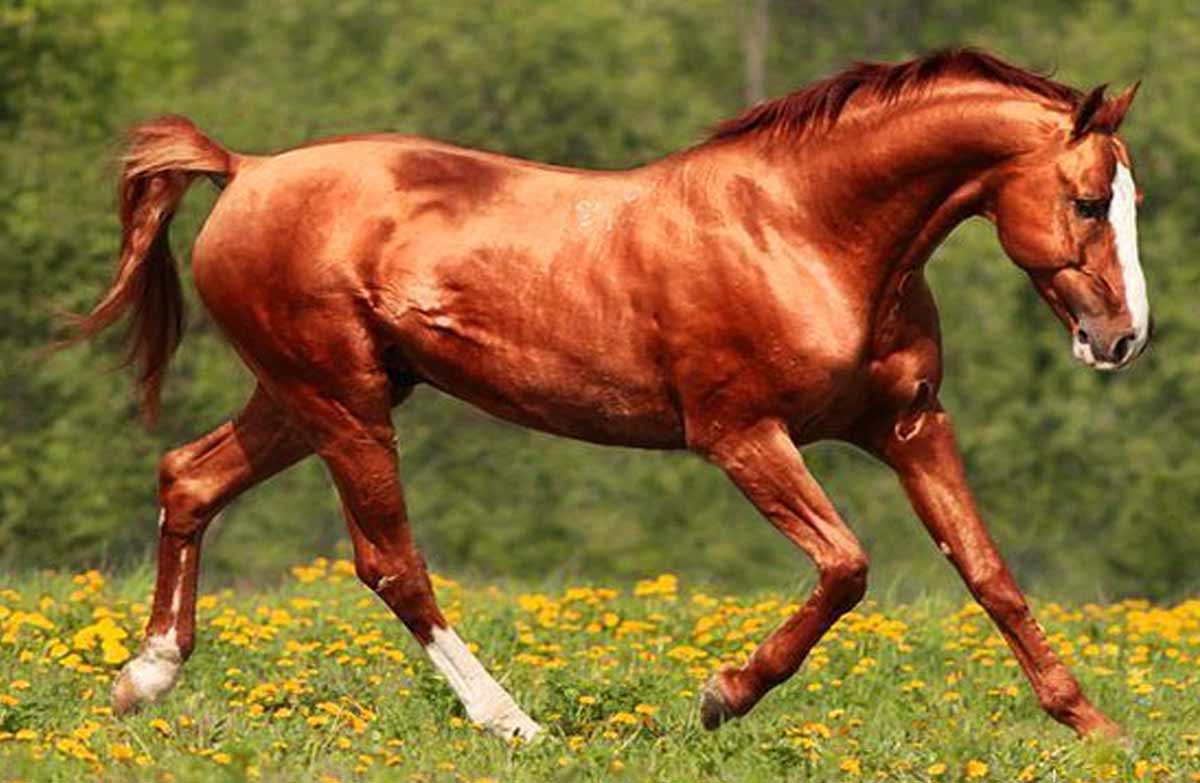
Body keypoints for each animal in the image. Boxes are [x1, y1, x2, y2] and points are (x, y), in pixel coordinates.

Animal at [66, 49, 1148, 741]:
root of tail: (243, 171)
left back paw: (143, 680)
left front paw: (1096, 727)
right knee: (390, 564)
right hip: (341, 402)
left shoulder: (908, 422)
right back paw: (512, 724)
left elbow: (989, 571)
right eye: (1089, 201)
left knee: (188, 478)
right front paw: (721, 697)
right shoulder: (741, 434)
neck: (806, 232)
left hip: (303, 398)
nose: (1121, 338)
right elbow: (846, 566)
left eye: (1131, 202)